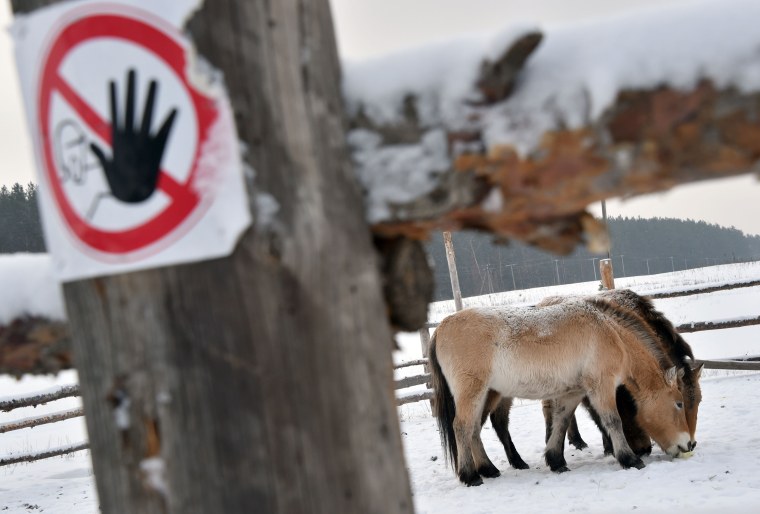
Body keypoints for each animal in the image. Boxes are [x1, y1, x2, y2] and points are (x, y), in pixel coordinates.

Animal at [430, 300, 692, 484]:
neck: (611, 333)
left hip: (484, 394)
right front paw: (630, 459)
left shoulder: (573, 392)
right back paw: (471, 476)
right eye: (679, 403)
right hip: (472, 393)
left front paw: (556, 461)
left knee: (474, 429)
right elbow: (613, 421)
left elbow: (561, 421)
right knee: (462, 427)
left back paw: (488, 469)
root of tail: (441, 327)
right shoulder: (602, 387)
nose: (689, 444)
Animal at [536, 288, 704, 456]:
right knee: (549, 409)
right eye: (680, 403)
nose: (692, 444)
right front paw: (610, 448)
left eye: (698, 401)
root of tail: (544, 301)